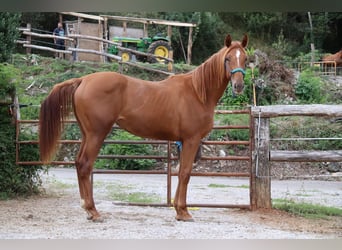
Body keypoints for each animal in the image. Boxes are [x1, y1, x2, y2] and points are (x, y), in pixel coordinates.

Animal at [39, 32, 248, 221]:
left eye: (245, 59)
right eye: (227, 58)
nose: (238, 86)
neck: (197, 92)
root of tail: (83, 80)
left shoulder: (183, 142)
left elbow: (180, 172)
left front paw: (178, 210)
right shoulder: (191, 140)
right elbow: (185, 173)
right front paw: (183, 212)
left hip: (86, 133)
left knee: (79, 163)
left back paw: (88, 209)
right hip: (96, 134)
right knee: (85, 164)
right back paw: (93, 211)